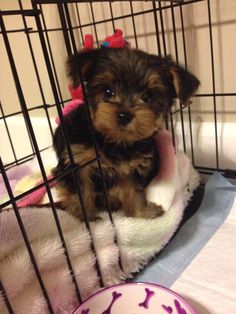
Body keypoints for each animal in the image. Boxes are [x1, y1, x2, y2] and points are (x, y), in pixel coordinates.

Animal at [53, 47, 199, 221]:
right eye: (108, 91)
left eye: (147, 96)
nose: (124, 115)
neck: (115, 141)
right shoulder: (79, 163)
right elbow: (82, 192)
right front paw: (86, 218)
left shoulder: (132, 168)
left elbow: (133, 192)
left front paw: (141, 214)